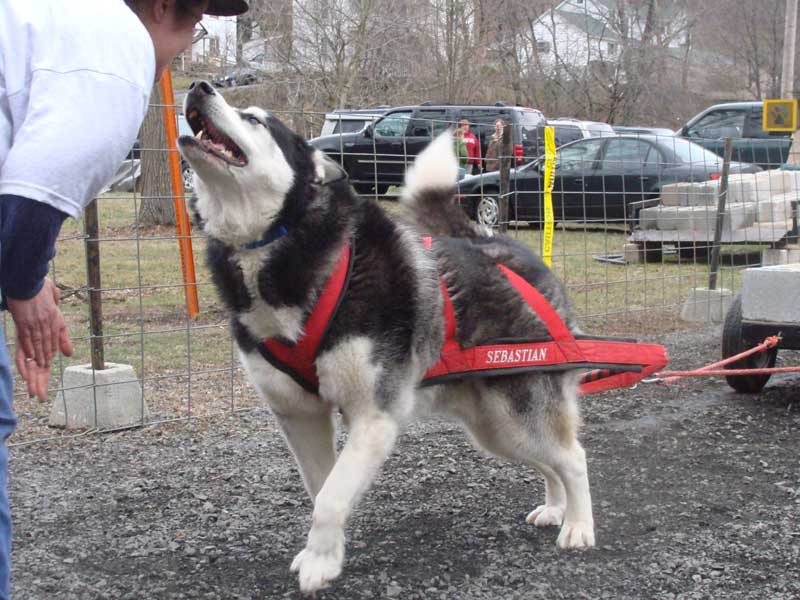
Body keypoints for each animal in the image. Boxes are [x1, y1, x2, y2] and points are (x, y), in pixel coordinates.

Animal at [180, 81, 592, 596]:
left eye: (254, 119)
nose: (199, 86)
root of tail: (500, 246)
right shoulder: (300, 416)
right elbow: (324, 487)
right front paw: (327, 552)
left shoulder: (374, 417)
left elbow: (331, 497)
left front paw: (319, 563)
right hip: (496, 427)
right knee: (549, 461)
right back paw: (556, 507)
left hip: (517, 409)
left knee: (572, 456)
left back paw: (578, 526)